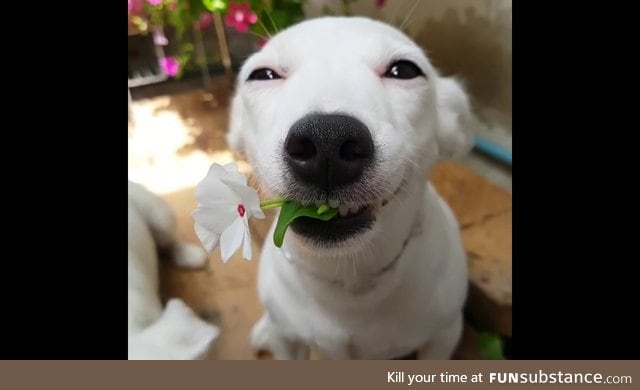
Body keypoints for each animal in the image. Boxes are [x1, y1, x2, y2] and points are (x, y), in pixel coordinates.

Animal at [226, 17, 476, 360]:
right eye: (262, 74)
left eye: (405, 70)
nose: (326, 139)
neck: (348, 279)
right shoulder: (289, 341)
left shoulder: (443, 335)